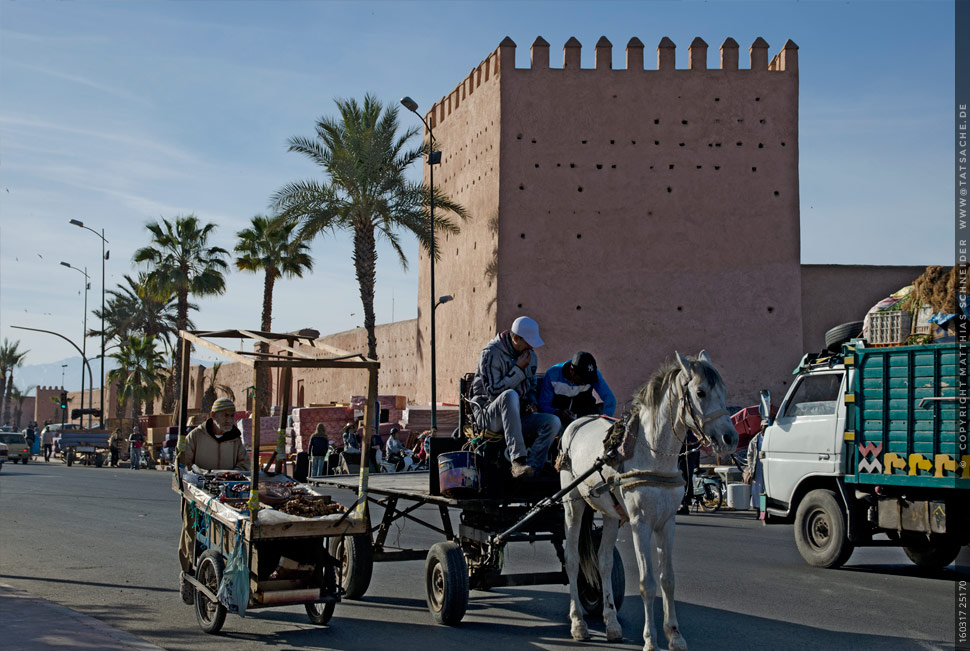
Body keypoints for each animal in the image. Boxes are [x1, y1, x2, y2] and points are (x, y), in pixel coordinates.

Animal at [556, 352, 736, 651]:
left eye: (724, 392)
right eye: (700, 392)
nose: (730, 438)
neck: (652, 453)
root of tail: (577, 422)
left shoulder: (667, 522)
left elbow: (668, 580)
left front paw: (674, 635)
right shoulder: (640, 523)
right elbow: (647, 583)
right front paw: (650, 639)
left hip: (610, 513)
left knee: (604, 561)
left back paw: (611, 623)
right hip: (572, 502)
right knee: (571, 559)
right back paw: (578, 623)